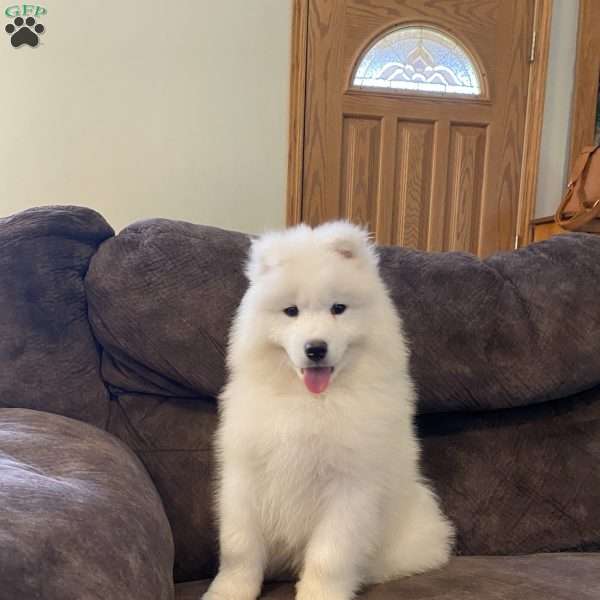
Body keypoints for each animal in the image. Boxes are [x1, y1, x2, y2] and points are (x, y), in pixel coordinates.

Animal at [204, 221, 452, 600]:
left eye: (338, 308)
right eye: (291, 311)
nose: (316, 349)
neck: (310, 401)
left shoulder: (350, 487)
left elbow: (329, 555)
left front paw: (319, 593)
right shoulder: (244, 476)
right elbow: (239, 547)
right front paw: (228, 591)